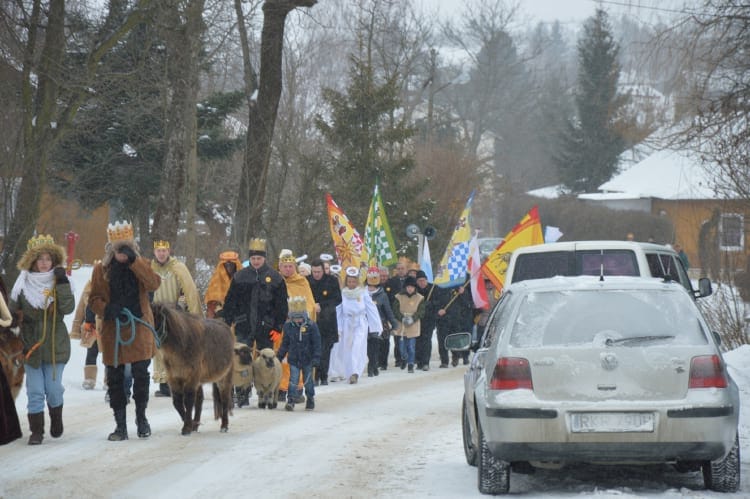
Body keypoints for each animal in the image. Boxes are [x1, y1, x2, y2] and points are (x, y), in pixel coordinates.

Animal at [151, 302, 234, 436]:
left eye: (155, 319)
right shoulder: (173, 378)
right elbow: (178, 402)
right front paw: (190, 423)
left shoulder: (191, 377)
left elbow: (188, 401)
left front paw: (187, 427)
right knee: (199, 400)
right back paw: (196, 424)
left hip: (224, 378)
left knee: (225, 400)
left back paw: (224, 426)